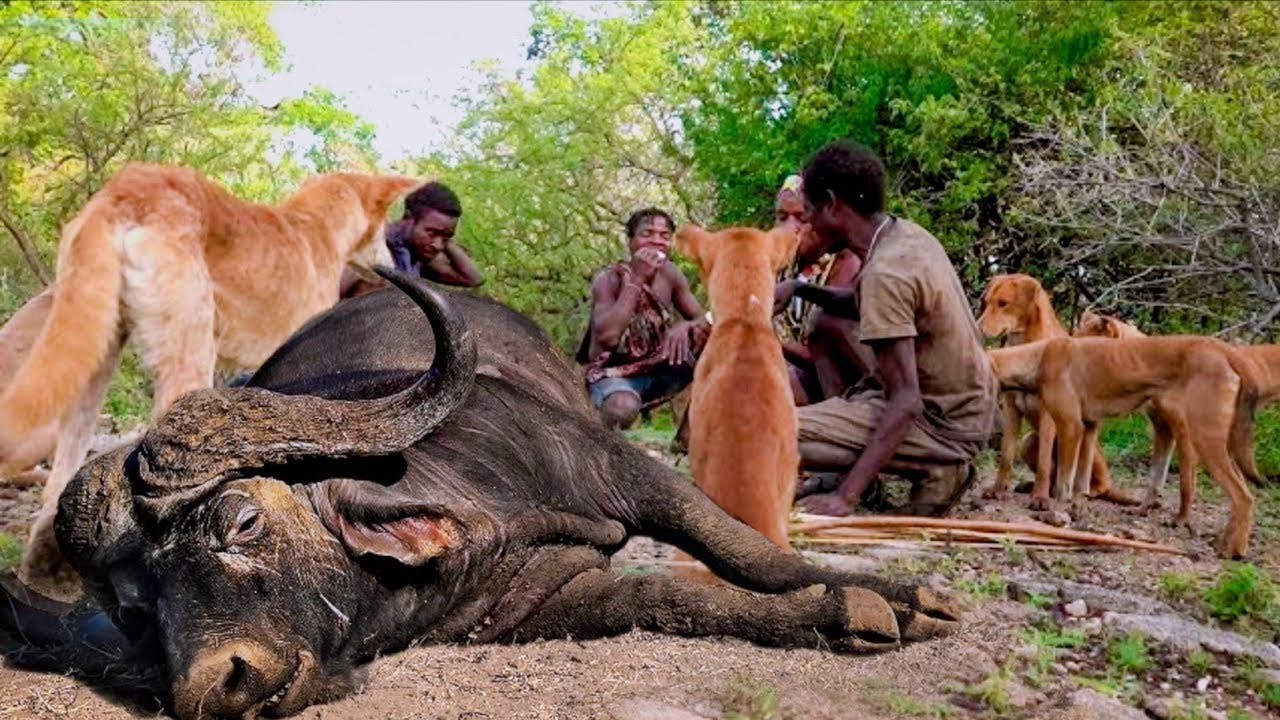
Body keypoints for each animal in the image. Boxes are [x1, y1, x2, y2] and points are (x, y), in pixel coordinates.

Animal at [0, 270, 961, 719]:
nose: (216, 687)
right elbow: (676, 602)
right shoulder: (549, 601)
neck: (480, 511)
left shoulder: (624, 467)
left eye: (240, 520)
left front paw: (892, 593)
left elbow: (745, 548)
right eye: (134, 610)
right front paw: (844, 612)